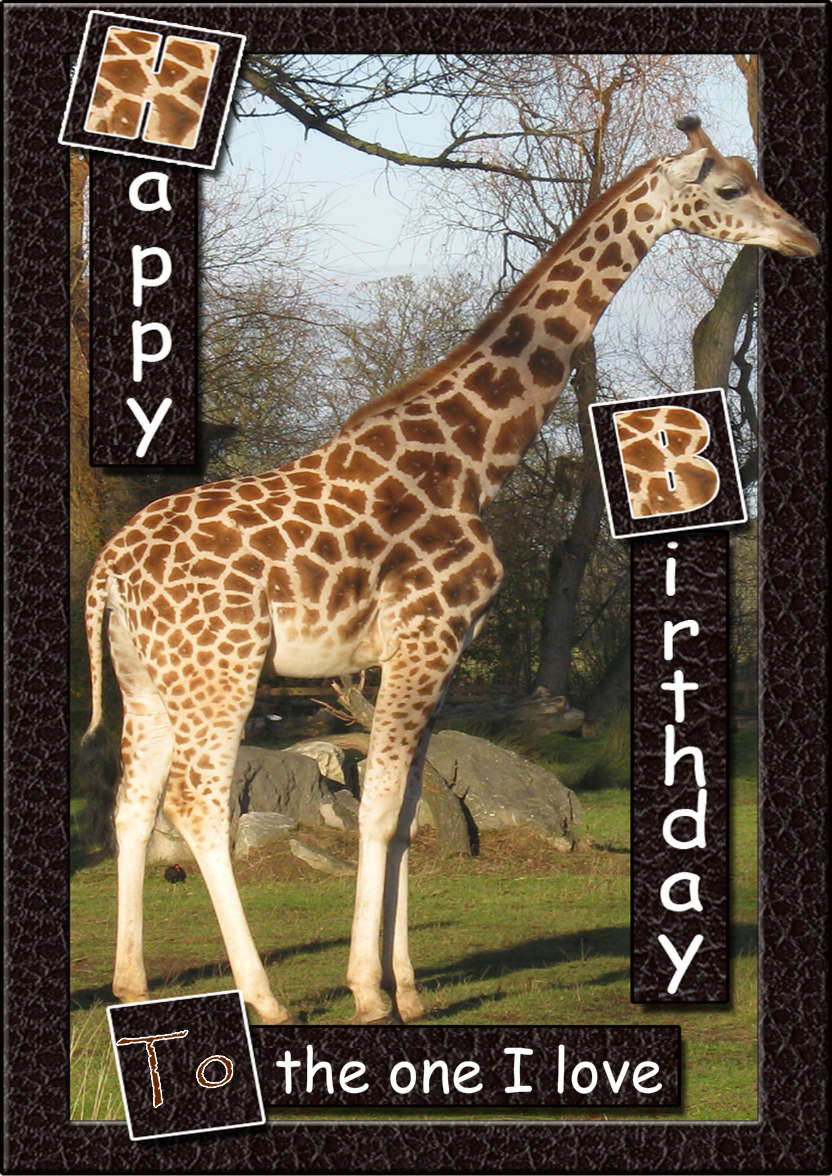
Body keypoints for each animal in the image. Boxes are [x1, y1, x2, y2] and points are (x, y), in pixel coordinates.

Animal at [81, 116, 818, 1025]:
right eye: (728, 188)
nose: (803, 238)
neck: (473, 460)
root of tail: (108, 570)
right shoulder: (423, 637)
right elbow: (375, 813)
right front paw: (368, 993)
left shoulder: (443, 651)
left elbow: (405, 818)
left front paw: (409, 991)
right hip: (220, 669)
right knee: (199, 805)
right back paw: (267, 1000)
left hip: (148, 676)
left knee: (132, 804)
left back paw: (132, 985)